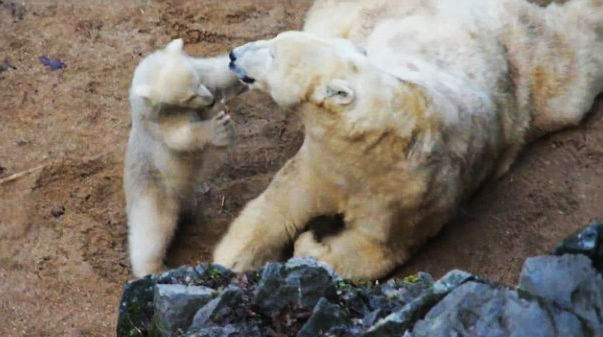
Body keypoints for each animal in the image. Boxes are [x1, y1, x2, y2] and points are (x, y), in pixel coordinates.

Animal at [215, 0, 600, 280]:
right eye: (272, 41)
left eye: (273, 52)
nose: (233, 54)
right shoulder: (323, 161)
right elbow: (280, 203)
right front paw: (230, 260)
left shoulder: (409, 192)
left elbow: (375, 248)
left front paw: (309, 245)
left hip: (530, 66)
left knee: (573, 63)